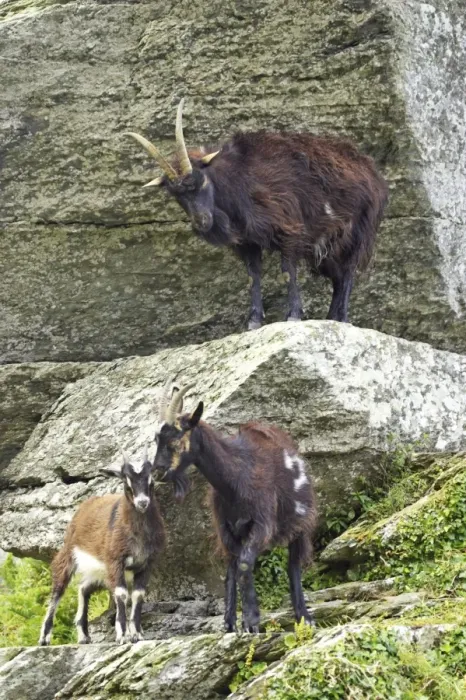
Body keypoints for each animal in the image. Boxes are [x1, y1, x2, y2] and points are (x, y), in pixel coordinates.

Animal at [38, 444, 165, 646]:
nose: (142, 502)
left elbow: (138, 594)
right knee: (58, 590)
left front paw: (137, 634)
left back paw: (84, 635)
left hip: (100, 571)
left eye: (151, 479)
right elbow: (121, 594)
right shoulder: (115, 560)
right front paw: (123, 635)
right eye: (126, 481)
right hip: (69, 555)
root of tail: (86, 505)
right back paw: (44, 638)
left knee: (83, 588)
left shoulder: (147, 563)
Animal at [126, 100, 388, 328]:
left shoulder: (289, 228)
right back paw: (332, 317)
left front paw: (293, 315)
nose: (202, 222)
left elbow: (287, 271)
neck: (239, 178)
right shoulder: (247, 242)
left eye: (201, 181)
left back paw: (342, 318)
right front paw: (253, 322)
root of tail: (371, 171)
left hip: (358, 232)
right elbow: (253, 276)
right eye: (176, 195)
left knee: (348, 271)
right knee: (338, 277)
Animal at [153, 379, 317, 633]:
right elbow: (231, 572)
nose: (157, 471)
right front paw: (232, 623)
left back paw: (304, 617)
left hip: (301, 521)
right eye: (156, 439)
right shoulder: (226, 529)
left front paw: (252, 622)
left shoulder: (261, 523)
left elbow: (244, 567)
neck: (237, 477)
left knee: (294, 564)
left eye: (176, 438)